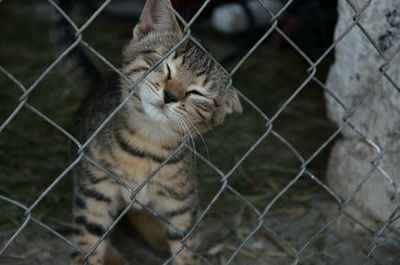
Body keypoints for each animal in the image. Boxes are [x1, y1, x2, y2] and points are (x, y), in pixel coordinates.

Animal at [52, 0, 241, 264]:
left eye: (197, 93)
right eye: (165, 65)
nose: (170, 95)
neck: (148, 141)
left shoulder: (182, 200)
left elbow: (185, 243)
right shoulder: (94, 190)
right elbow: (87, 242)